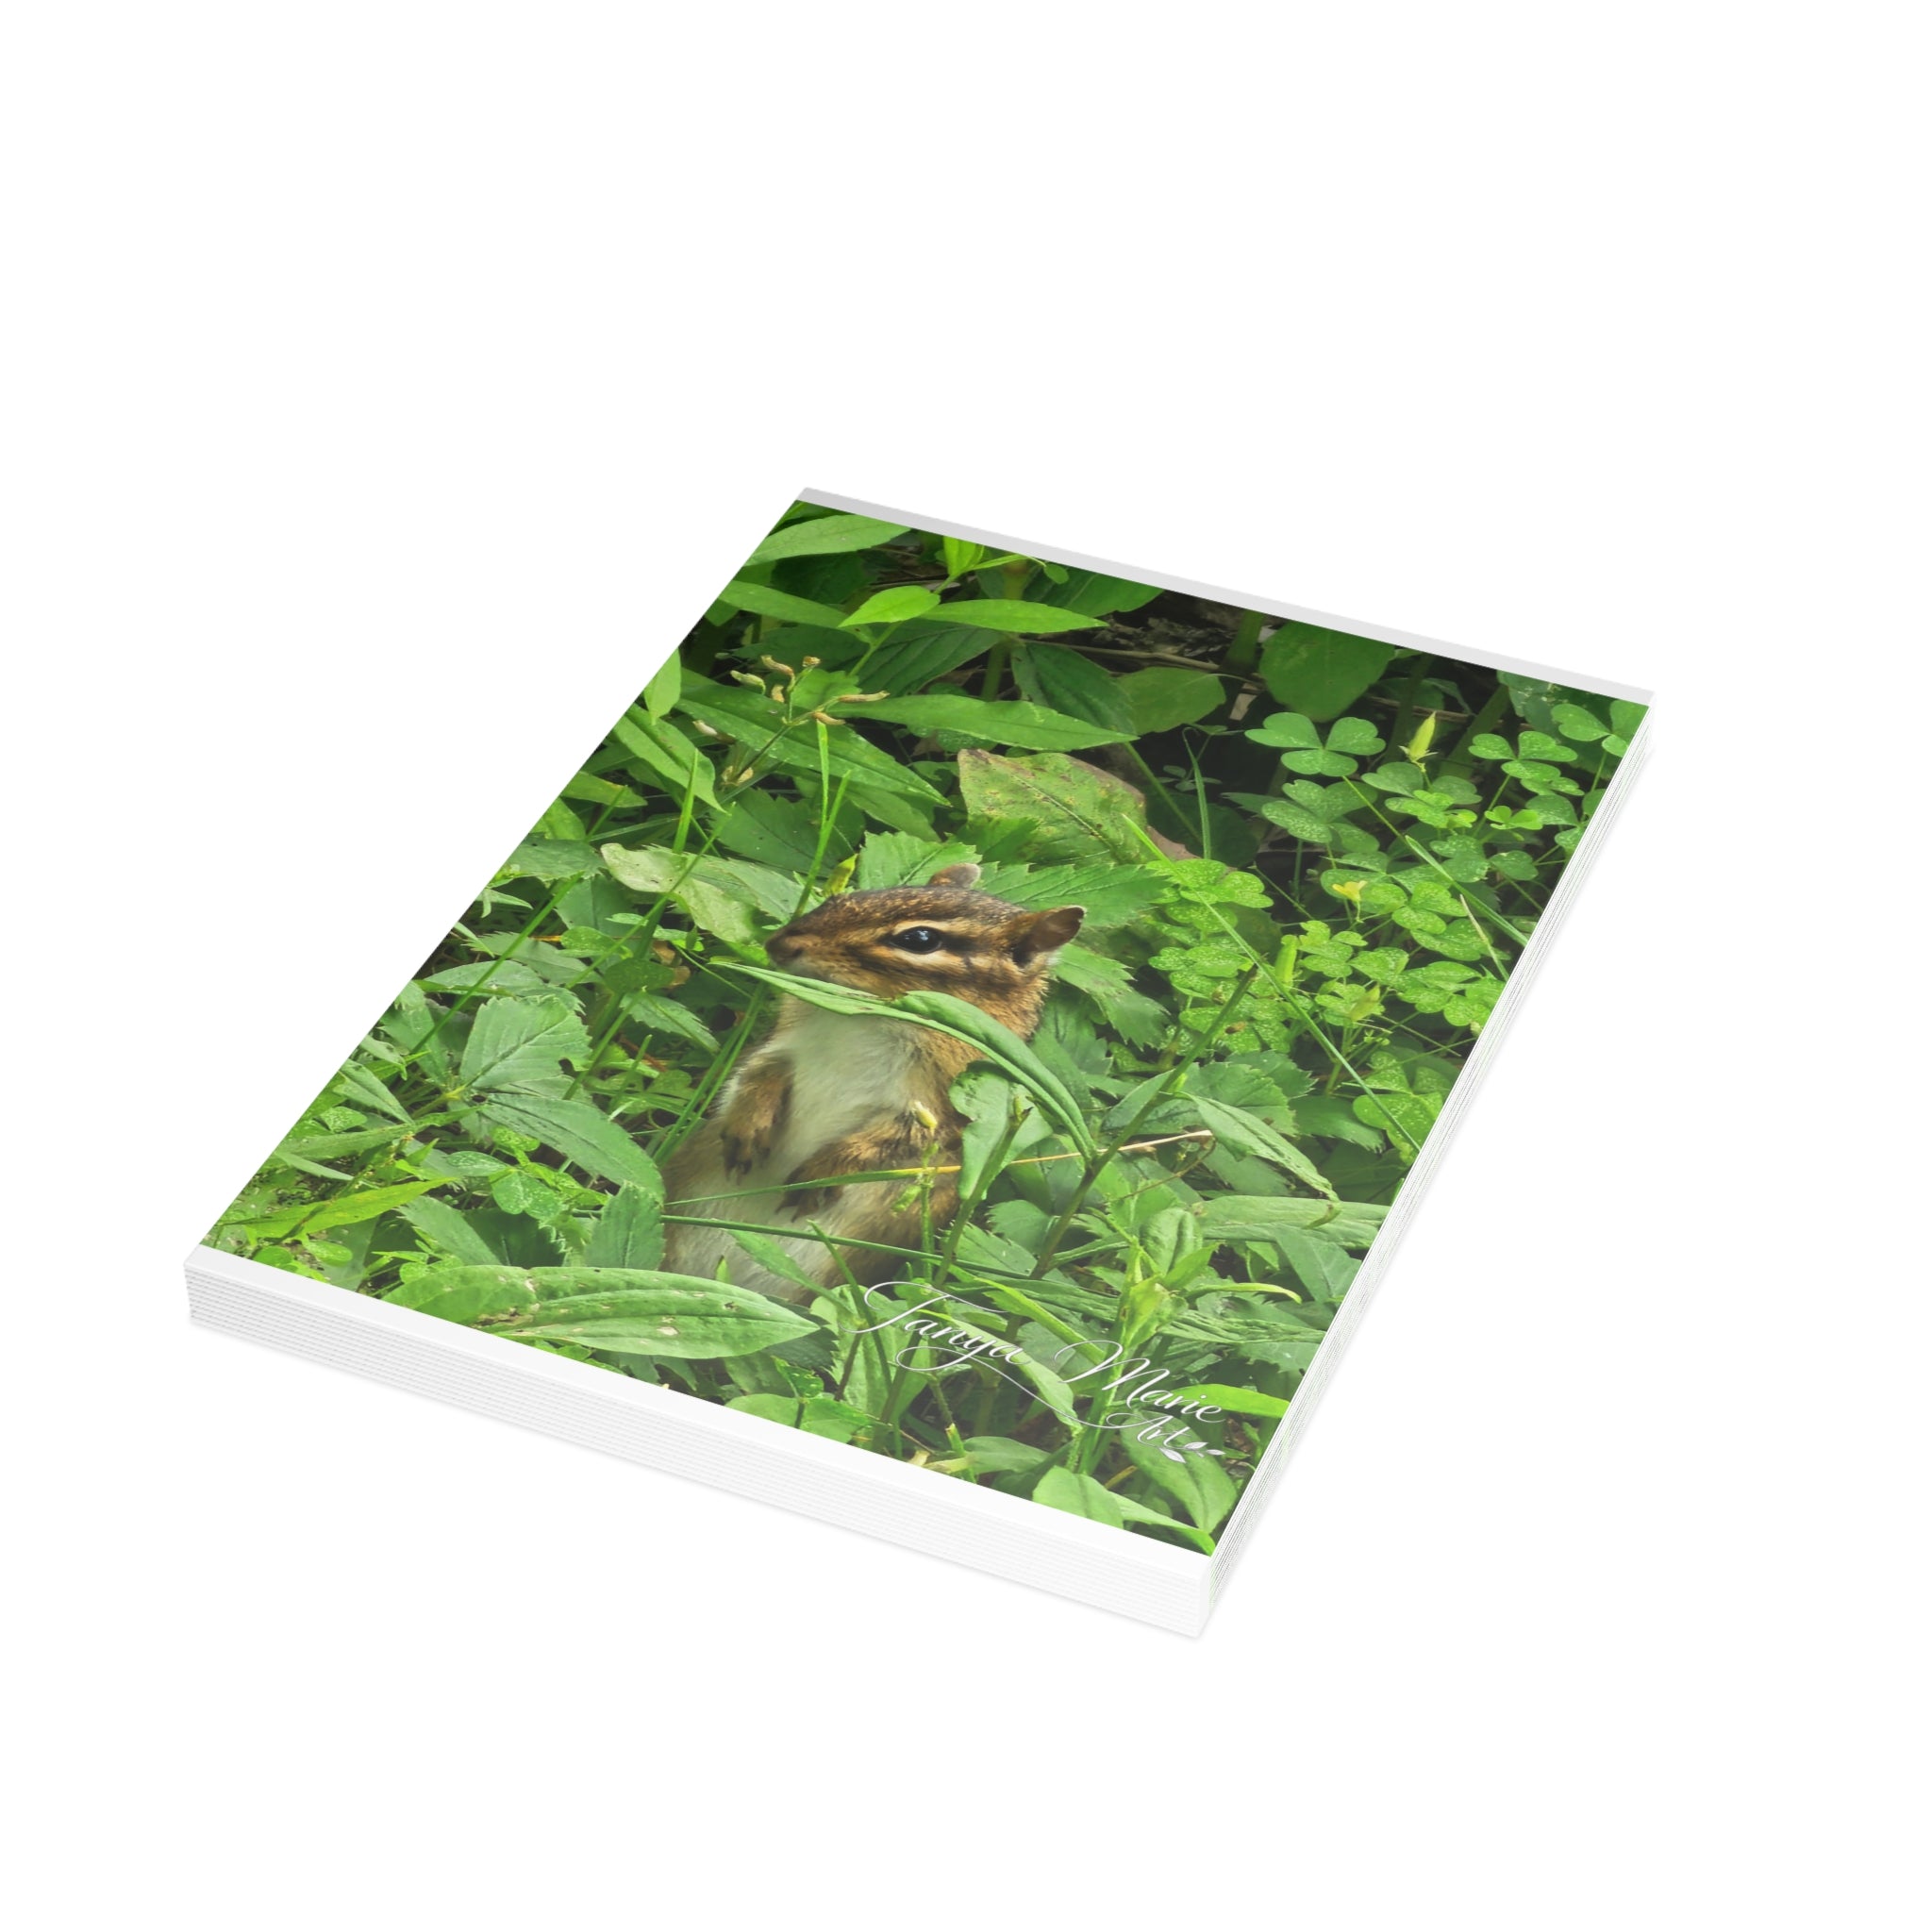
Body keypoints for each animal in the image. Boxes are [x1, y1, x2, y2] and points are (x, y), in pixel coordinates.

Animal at [662, 864, 1083, 1303]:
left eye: (919, 939)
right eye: (843, 897)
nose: (778, 943)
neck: (863, 1017)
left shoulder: (940, 1109)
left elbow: (896, 1141)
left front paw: (824, 1171)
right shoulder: (781, 1044)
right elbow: (756, 1073)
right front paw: (747, 1126)